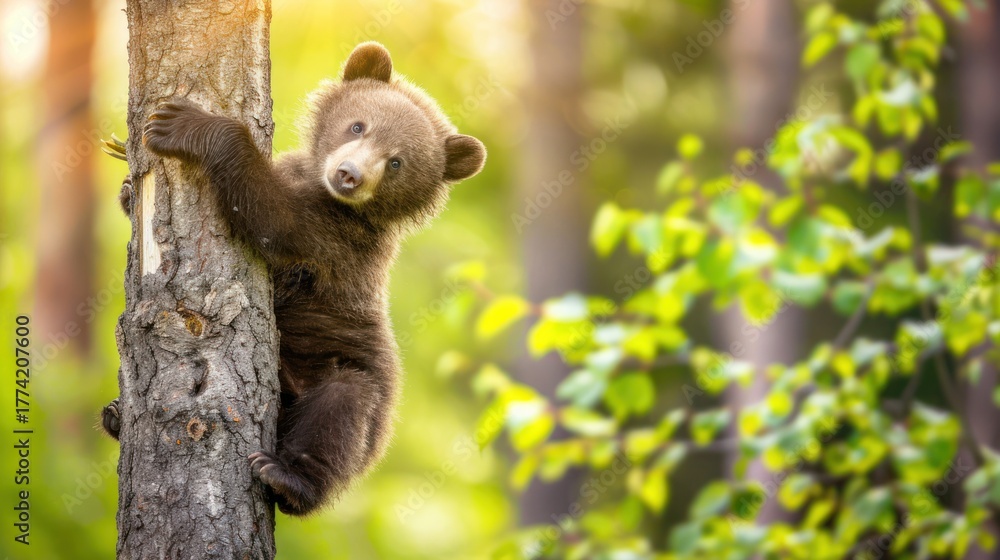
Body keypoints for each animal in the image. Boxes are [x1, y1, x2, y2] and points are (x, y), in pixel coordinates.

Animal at [102, 42, 486, 516]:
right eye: (358, 125)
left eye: (397, 162)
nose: (349, 175)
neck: (323, 190)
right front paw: (125, 180)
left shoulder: (333, 240)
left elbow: (271, 218)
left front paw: (180, 122)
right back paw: (115, 414)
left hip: (354, 374)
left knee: (342, 410)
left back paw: (288, 478)